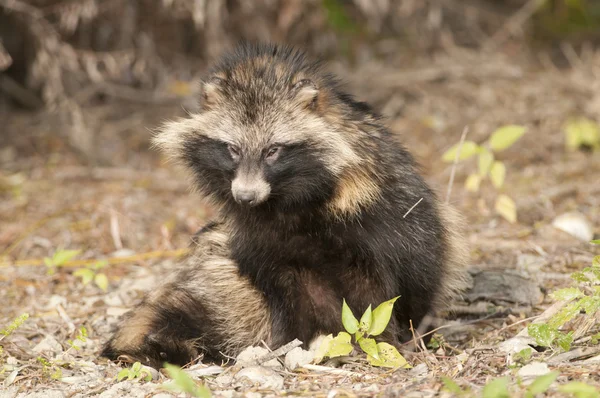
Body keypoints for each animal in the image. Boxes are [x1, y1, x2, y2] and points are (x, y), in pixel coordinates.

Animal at [102, 42, 468, 368]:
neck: (290, 201)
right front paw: (294, 343)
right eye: (232, 149)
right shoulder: (259, 242)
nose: (245, 196)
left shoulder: (381, 217)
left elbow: (402, 283)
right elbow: (282, 291)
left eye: (273, 151)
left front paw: (390, 339)